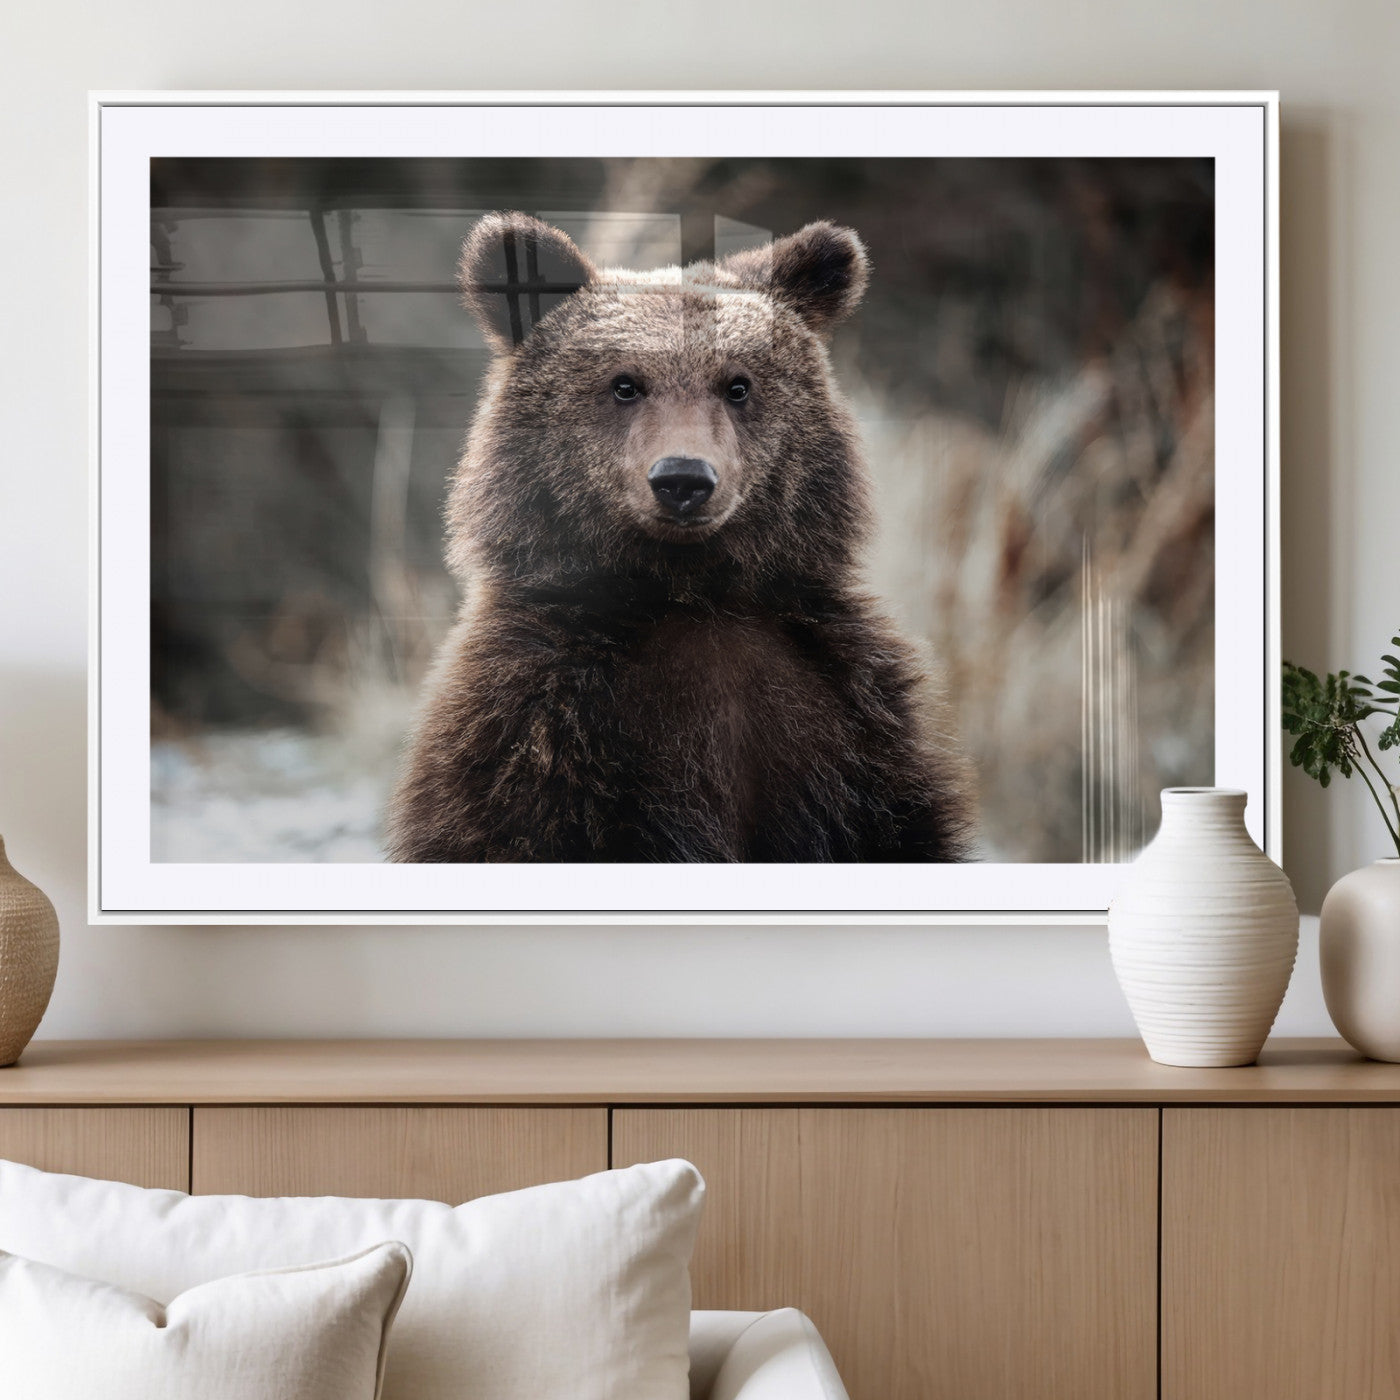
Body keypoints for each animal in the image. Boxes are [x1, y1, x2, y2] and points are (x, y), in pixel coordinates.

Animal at [386, 212, 974, 863]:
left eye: (738, 385)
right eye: (625, 384)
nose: (683, 479)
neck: (691, 593)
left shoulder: (850, 722)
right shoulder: (536, 727)